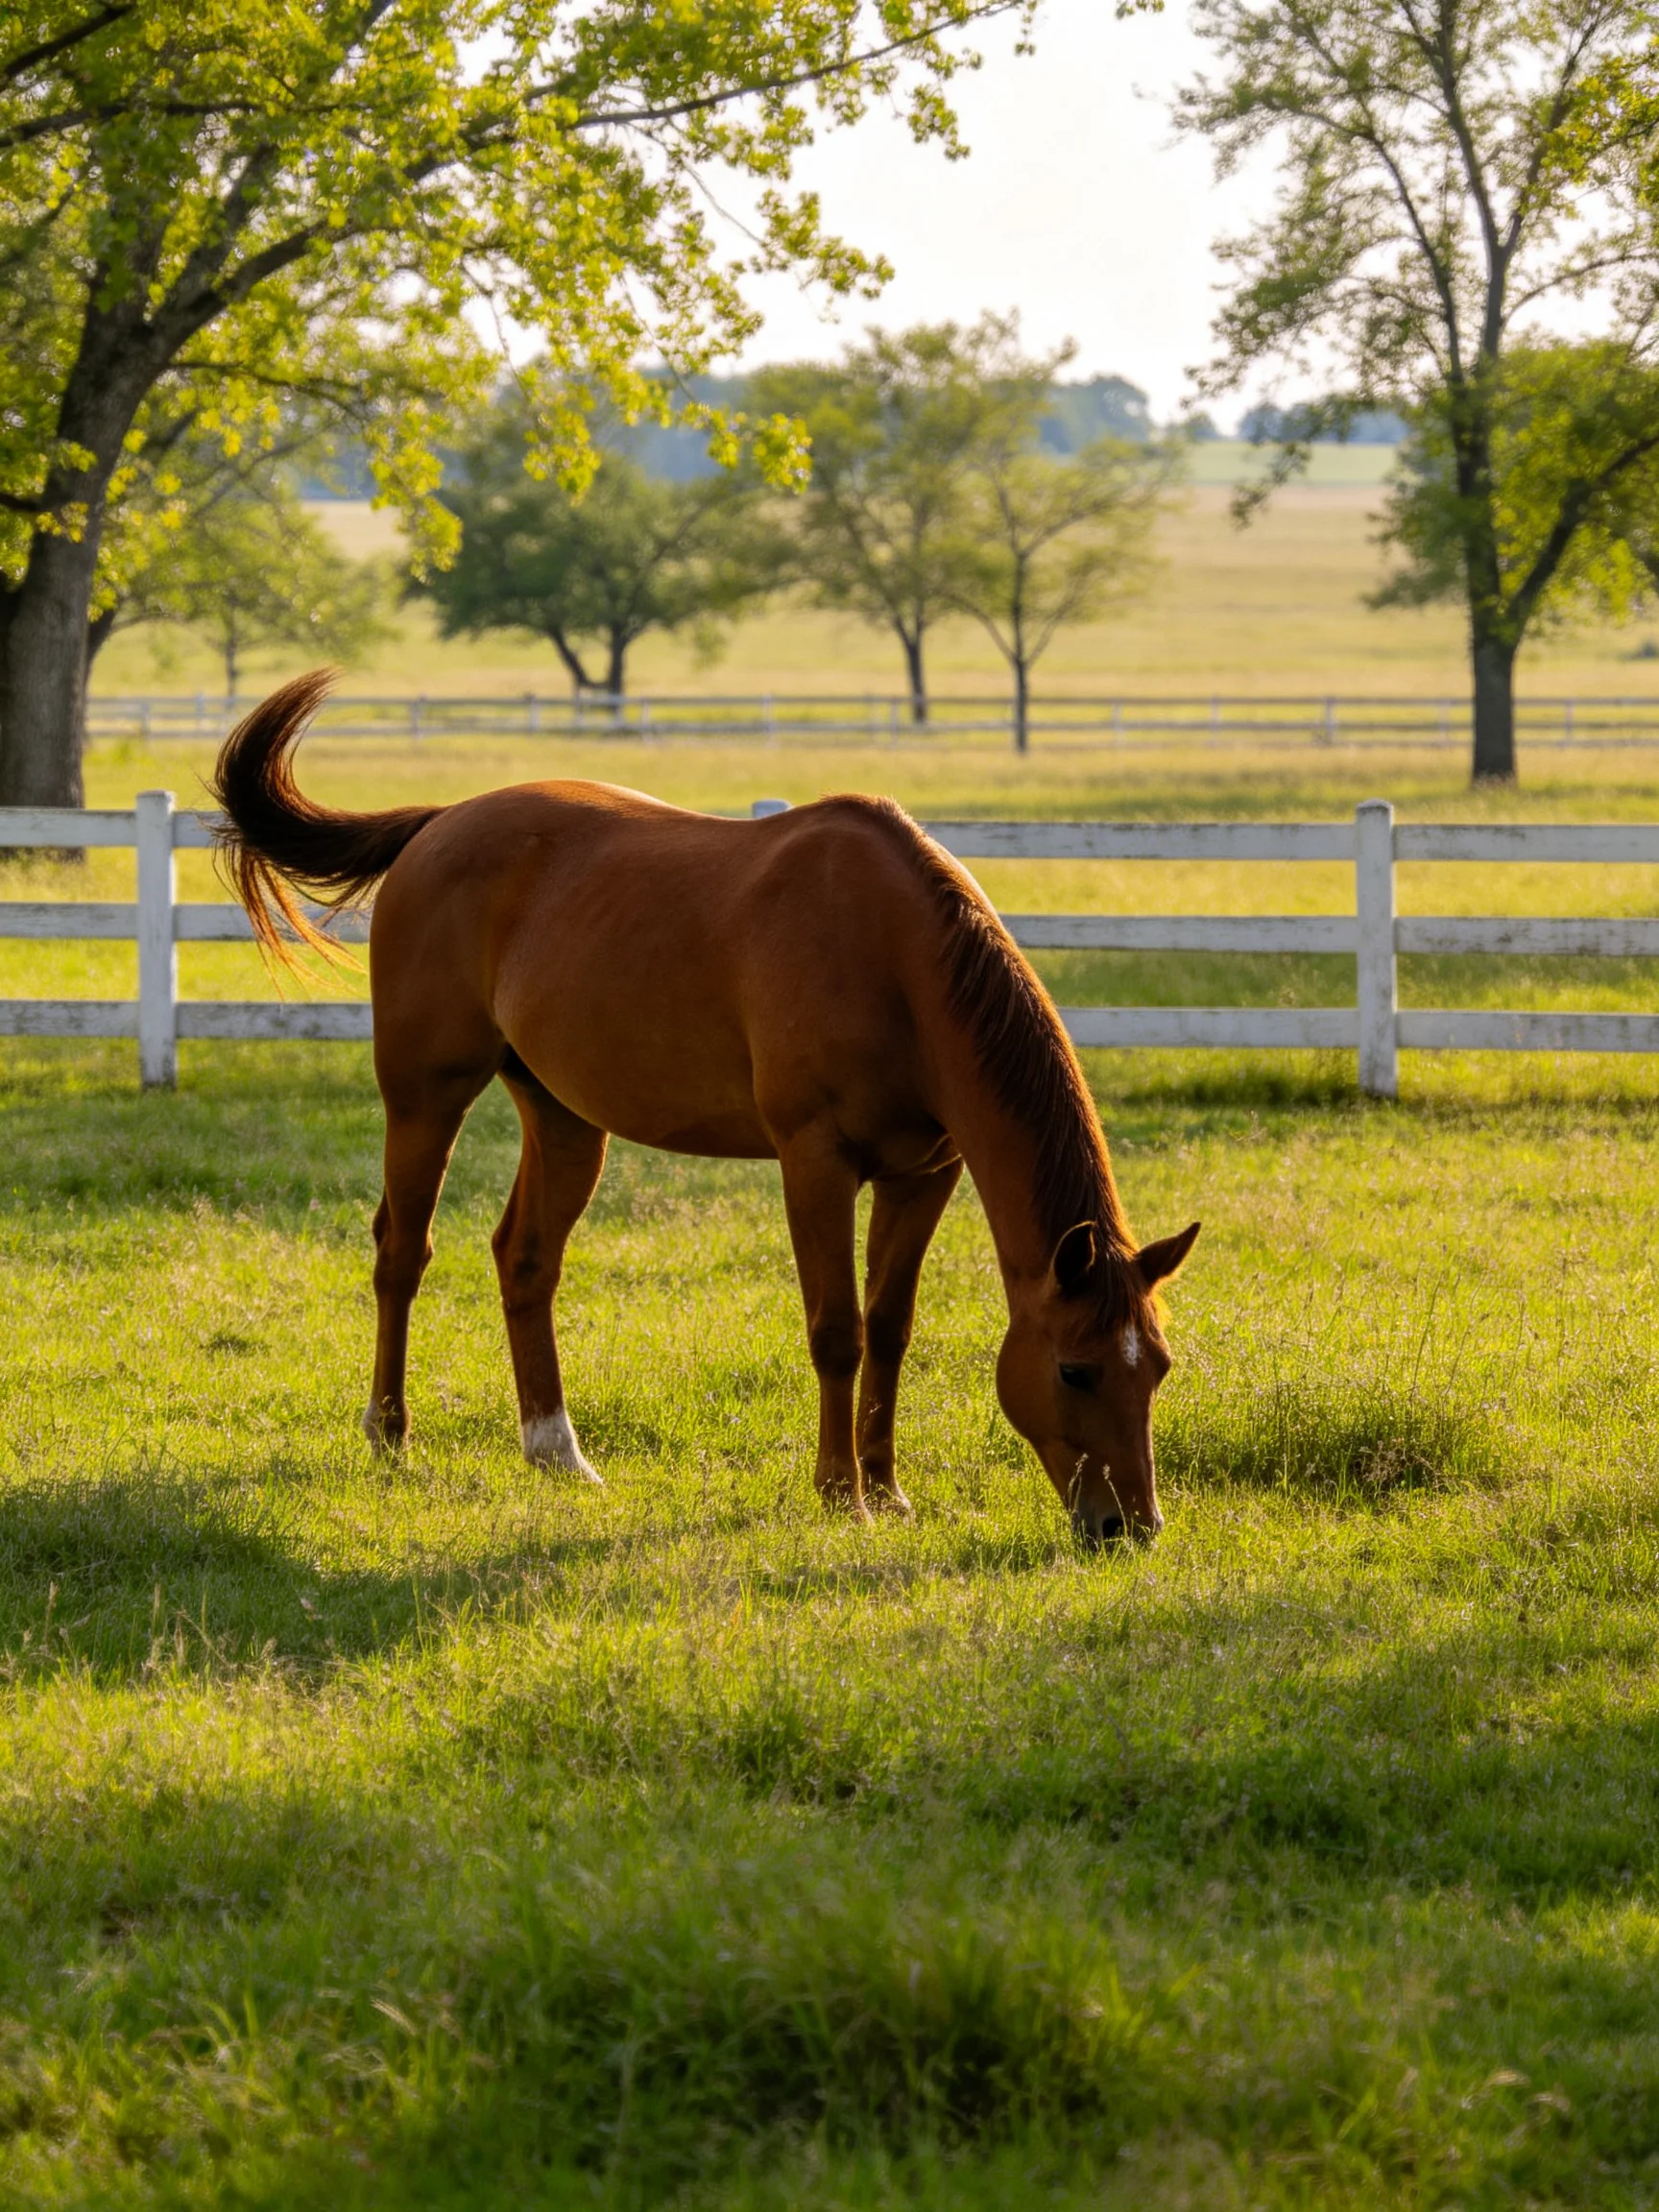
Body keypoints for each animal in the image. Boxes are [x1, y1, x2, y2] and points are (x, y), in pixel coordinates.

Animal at [210, 672, 1200, 1544]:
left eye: (1158, 1368)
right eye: (1074, 1370)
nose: (1128, 1528)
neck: (898, 960)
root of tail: (440, 822)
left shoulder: (925, 1173)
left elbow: (890, 1329)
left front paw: (888, 1489)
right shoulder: (815, 1161)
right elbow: (837, 1332)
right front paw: (841, 1495)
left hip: (566, 1117)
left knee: (525, 1260)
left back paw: (556, 1450)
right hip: (426, 1096)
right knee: (401, 1254)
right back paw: (390, 1434)